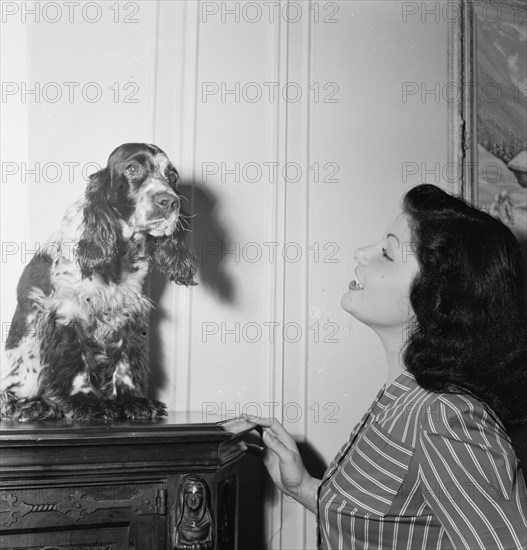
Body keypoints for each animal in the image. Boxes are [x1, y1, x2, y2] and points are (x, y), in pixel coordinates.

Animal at [0, 143, 198, 422]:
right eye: (132, 169)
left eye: (172, 177)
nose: (169, 201)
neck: (120, 254)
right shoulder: (67, 311)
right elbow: (76, 364)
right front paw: (88, 403)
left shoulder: (129, 311)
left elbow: (125, 362)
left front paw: (133, 401)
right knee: (8, 396)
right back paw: (32, 405)